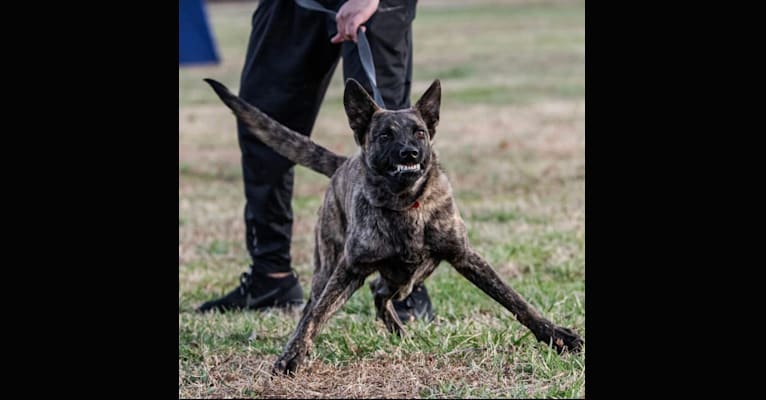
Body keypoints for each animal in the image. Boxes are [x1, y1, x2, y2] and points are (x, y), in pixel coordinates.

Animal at [204, 77, 584, 376]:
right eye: (385, 135)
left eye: (420, 133)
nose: (410, 153)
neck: (405, 206)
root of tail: (344, 162)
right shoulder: (348, 268)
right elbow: (316, 316)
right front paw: (292, 356)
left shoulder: (465, 257)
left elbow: (516, 301)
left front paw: (557, 336)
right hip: (331, 268)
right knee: (318, 305)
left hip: (411, 275)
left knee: (379, 293)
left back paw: (400, 331)